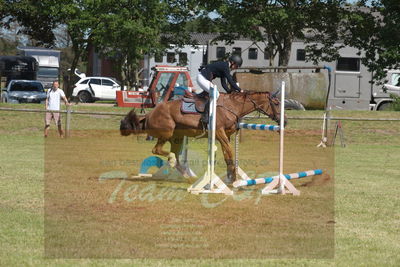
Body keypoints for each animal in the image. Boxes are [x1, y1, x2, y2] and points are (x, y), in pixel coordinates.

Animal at [119, 92, 284, 184]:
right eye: (276, 103)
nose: (284, 121)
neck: (232, 106)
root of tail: (149, 114)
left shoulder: (226, 136)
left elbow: (227, 155)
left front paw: (231, 176)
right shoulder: (220, 133)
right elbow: (230, 153)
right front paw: (233, 176)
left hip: (177, 137)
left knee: (175, 157)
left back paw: (189, 177)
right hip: (167, 132)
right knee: (158, 150)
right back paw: (173, 161)